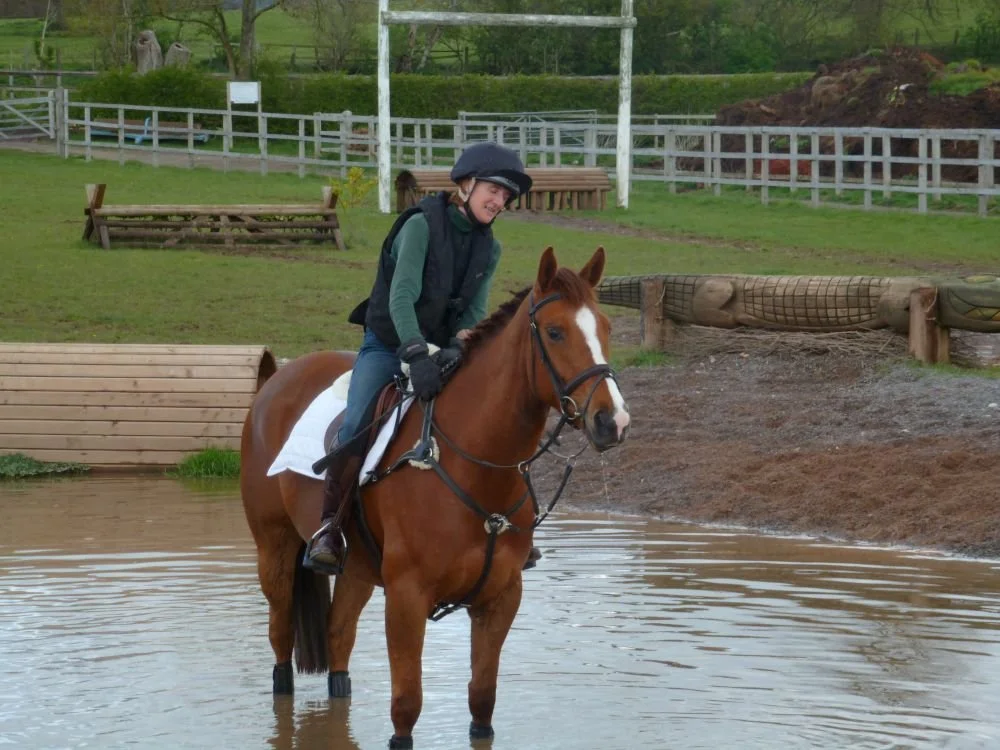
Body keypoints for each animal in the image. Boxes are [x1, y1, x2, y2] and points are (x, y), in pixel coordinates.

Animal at [241, 246, 631, 748]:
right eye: (556, 331)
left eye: (606, 329)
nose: (612, 420)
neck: (474, 466)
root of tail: (278, 377)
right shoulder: (407, 598)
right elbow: (406, 708)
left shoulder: (500, 598)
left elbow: (482, 703)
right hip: (275, 548)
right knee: (281, 644)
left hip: (357, 569)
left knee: (338, 638)